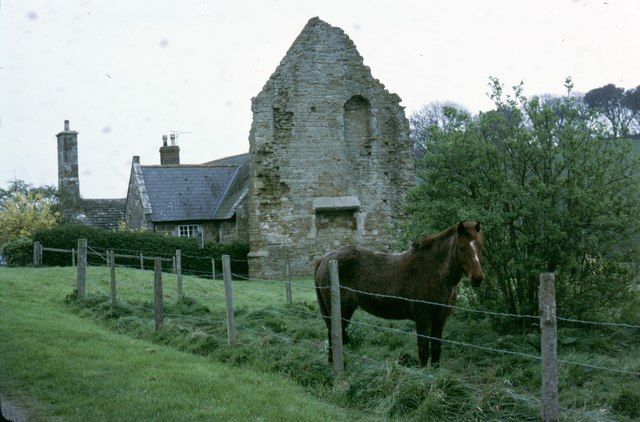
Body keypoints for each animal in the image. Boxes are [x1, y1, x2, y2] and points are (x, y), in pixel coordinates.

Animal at [312, 221, 482, 366]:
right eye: (461, 247)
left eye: (480, 246)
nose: (478, 278)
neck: (436, 273)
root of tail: (324, 259)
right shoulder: (423, 319)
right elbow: (423, 353)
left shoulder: (440, 319)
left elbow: (436, 351)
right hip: (342, 311)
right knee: (334, 335)